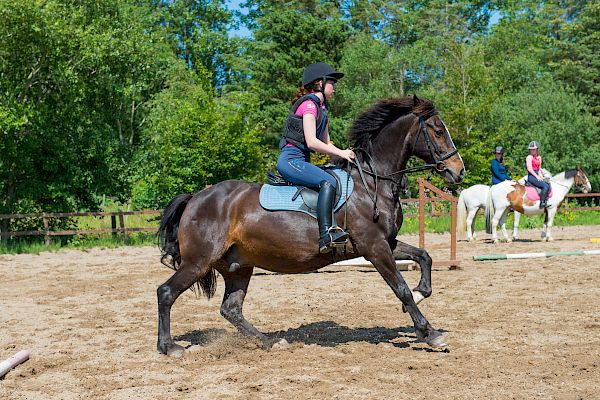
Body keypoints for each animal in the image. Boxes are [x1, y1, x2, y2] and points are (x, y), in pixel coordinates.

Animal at [156, 96, 464, 356]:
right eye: (438, 131)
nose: (459, 172)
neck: (373, 181)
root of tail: (196, 198)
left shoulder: (386, 243)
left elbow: (424, 256)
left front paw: (422, 293)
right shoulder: (374, 247)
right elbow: (400, 287)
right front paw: (429, 332)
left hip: (237, 266)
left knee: (231, 309)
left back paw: (270, 342)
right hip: (200, 261)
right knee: (166, 292)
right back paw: (168, 347)